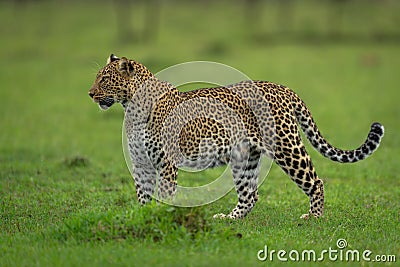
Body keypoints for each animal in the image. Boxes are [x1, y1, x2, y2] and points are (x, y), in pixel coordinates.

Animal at [90, 54, 384, 220]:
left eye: (104, 79)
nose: (90, 93)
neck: (131, 106)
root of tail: (284, 88)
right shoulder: (141, 164)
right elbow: (143, 197)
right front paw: (142, 218)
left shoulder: (165, 162)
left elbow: (165, 194)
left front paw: (163, 216)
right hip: (244, 156)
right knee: (250, 195)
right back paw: (230, 219)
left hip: (287, 147)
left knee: (316, 181)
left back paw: (315, 218)